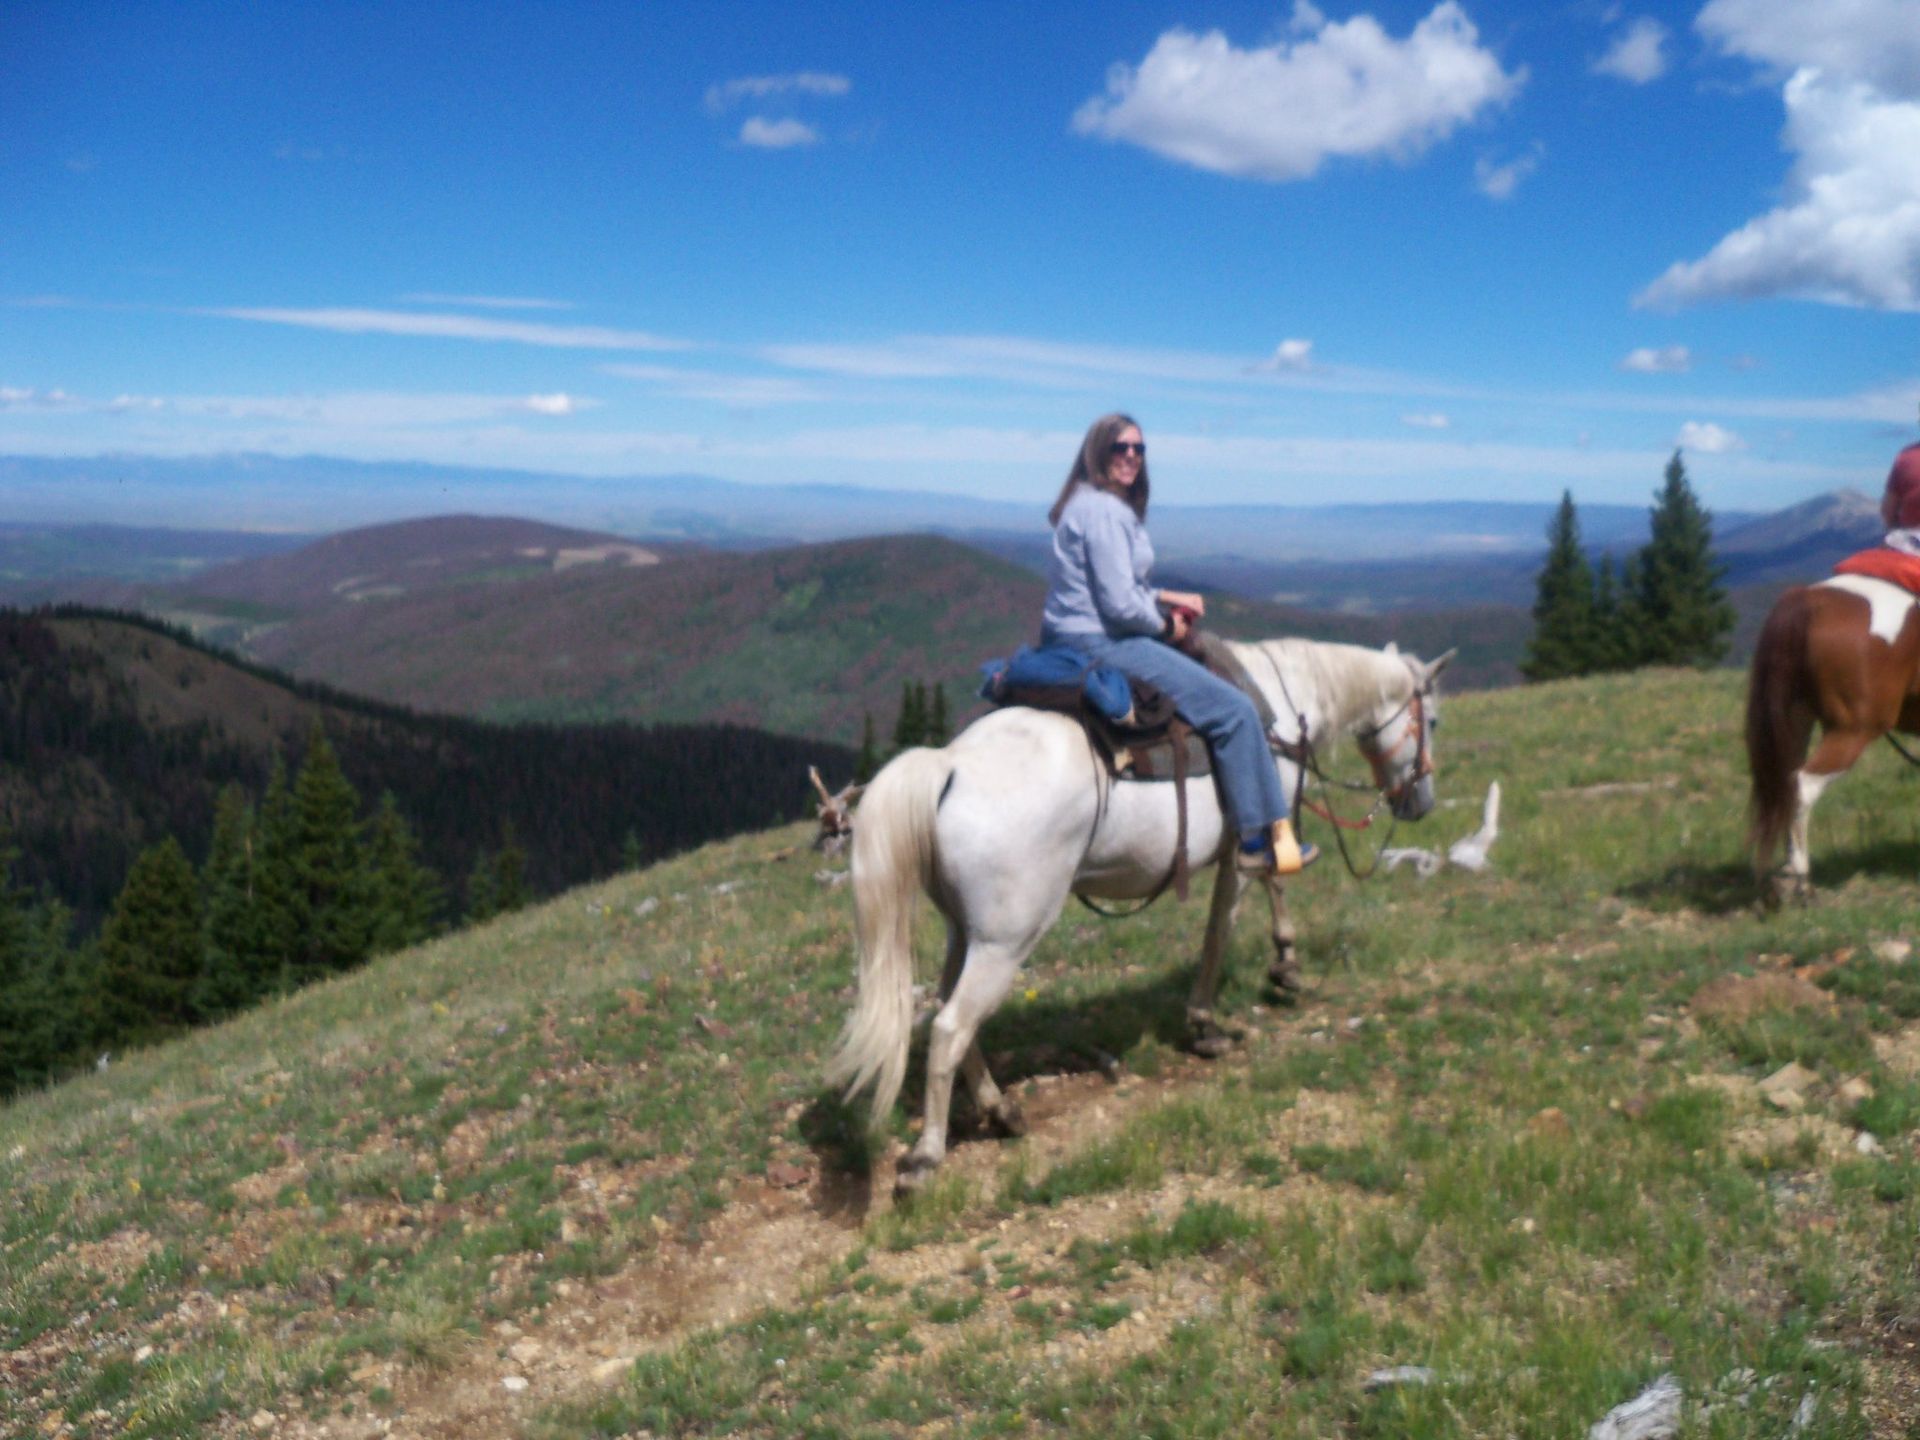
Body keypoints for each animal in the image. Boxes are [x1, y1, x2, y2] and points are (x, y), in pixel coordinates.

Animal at [825, 637, 1454, 1194]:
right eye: (1433, 719)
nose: (1419, 803)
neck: (1283, 695)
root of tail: (949, 765)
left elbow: (1274, 884)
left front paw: (1285, 964)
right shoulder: (1245, 845)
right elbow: (1227, 922)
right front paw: (1208, 1023)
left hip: (968, 931)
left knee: (948, 1012)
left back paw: (1001, 1110)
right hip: (1006, 940)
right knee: (952, 1026)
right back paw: (927, 1157)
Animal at [1747, 573, 1920, 901]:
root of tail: (1809, 600)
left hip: (1798, 721)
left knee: (1787, 785)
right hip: (1852, 732)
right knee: (1803, 785)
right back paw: (1802, 879)